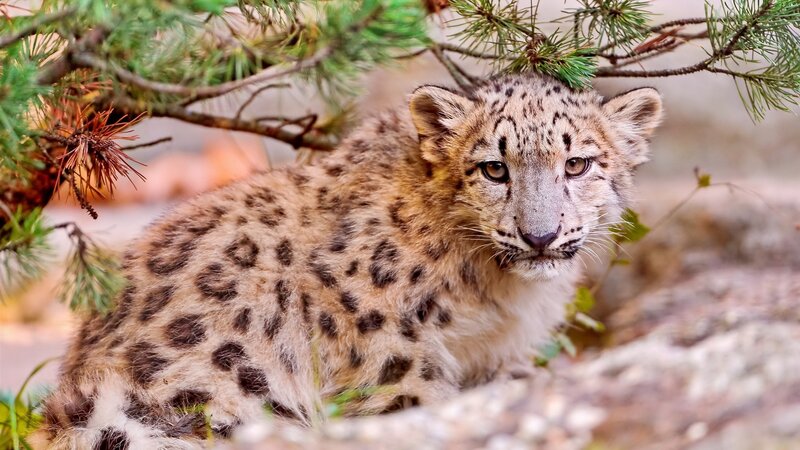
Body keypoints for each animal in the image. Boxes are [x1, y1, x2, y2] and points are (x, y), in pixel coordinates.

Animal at [37, 73, 662, 449]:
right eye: (493, 168)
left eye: (578, 164)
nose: (540, 235)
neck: (496, 294)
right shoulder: (394, 353)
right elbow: (413, 406)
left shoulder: (495, 357)